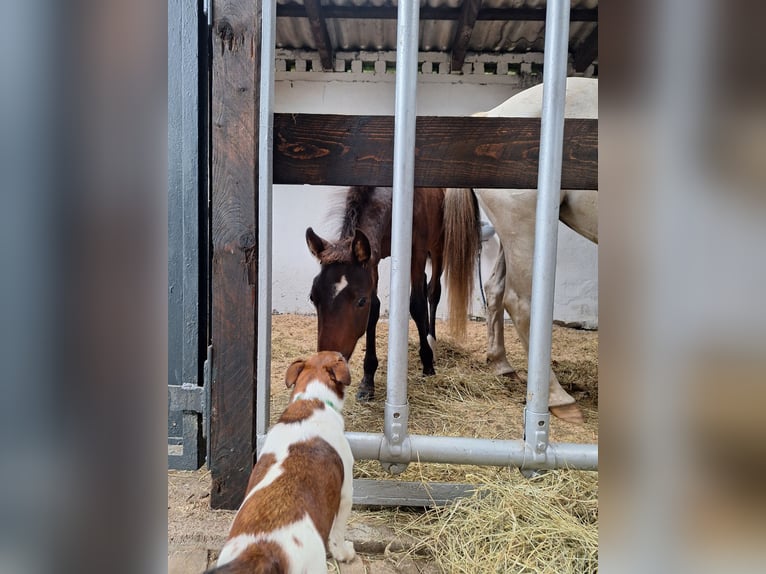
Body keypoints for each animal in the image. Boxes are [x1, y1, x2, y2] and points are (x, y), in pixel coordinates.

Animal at [305, 186, 479, 401]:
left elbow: (417, 305)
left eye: (361, 301)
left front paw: (427, 363)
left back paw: (431, 342)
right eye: (313, 297)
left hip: (438, 247)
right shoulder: (373, 259)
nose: (327, 364)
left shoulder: (417, 252)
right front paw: (367, 380)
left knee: (433, 291)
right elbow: (374, 311)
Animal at [446, 77, 598, 424]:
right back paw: (558, 399)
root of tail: (492, 116)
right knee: (520, 301)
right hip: (524, 229)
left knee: (495, 290)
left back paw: (502, 365)